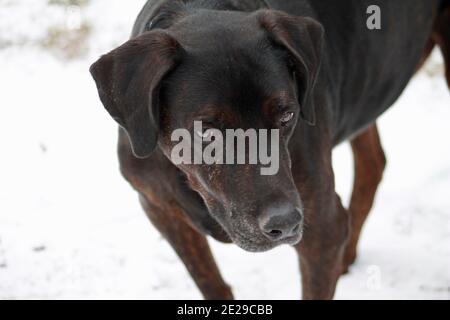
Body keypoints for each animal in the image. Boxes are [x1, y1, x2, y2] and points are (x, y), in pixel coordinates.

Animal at [89, 0, 450, 300]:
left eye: (287, 115)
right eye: (207, 129)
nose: (286, 223)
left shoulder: (321, 232)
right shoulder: (159, 208)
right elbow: (210, 282)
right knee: (373, 163)